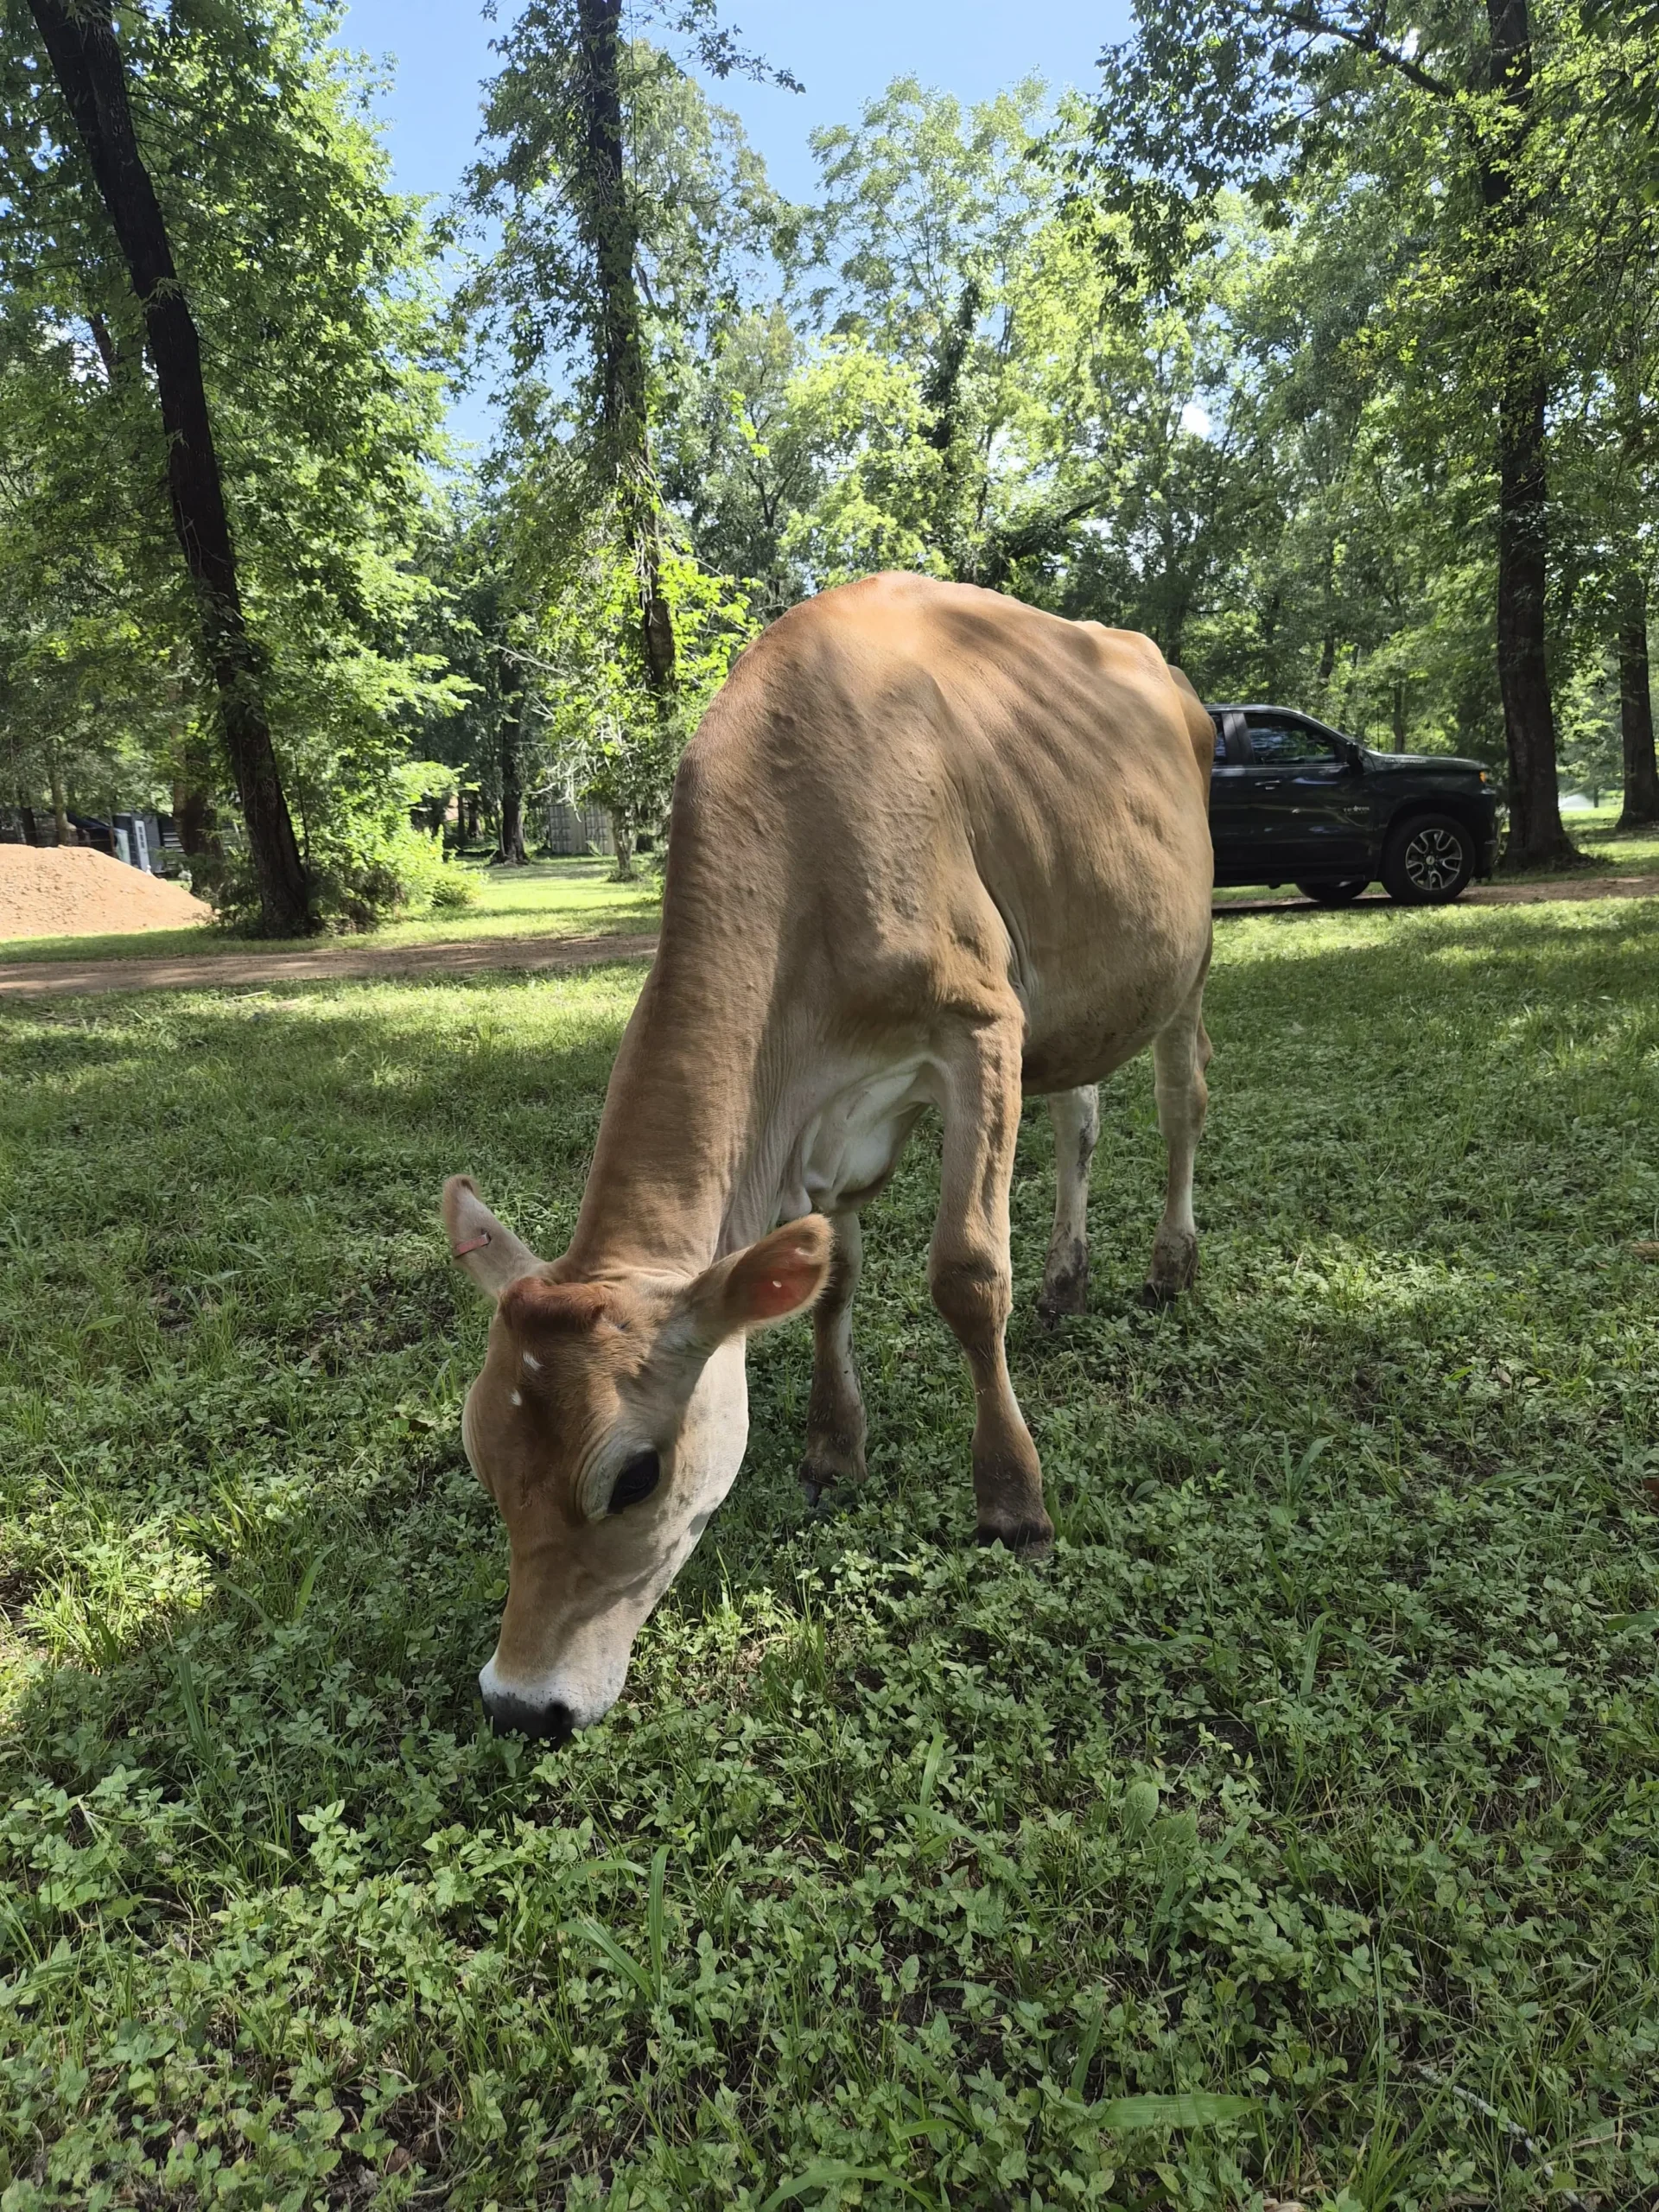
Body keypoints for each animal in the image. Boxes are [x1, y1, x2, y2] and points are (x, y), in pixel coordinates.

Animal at [443, 572, 1215, 1742]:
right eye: (482, 1453)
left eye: (635, 1477)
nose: (520, 1702)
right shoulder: (830, 1114)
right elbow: (831, 1281)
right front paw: (832, 1449)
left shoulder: (981, 1025)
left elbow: (964, 1275)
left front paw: (1014, 1502)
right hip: (1079, 993)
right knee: (1078, 1117)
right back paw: (1067, 1279)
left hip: (1187, 956)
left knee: (1180, 1101)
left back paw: (1169, 1263)